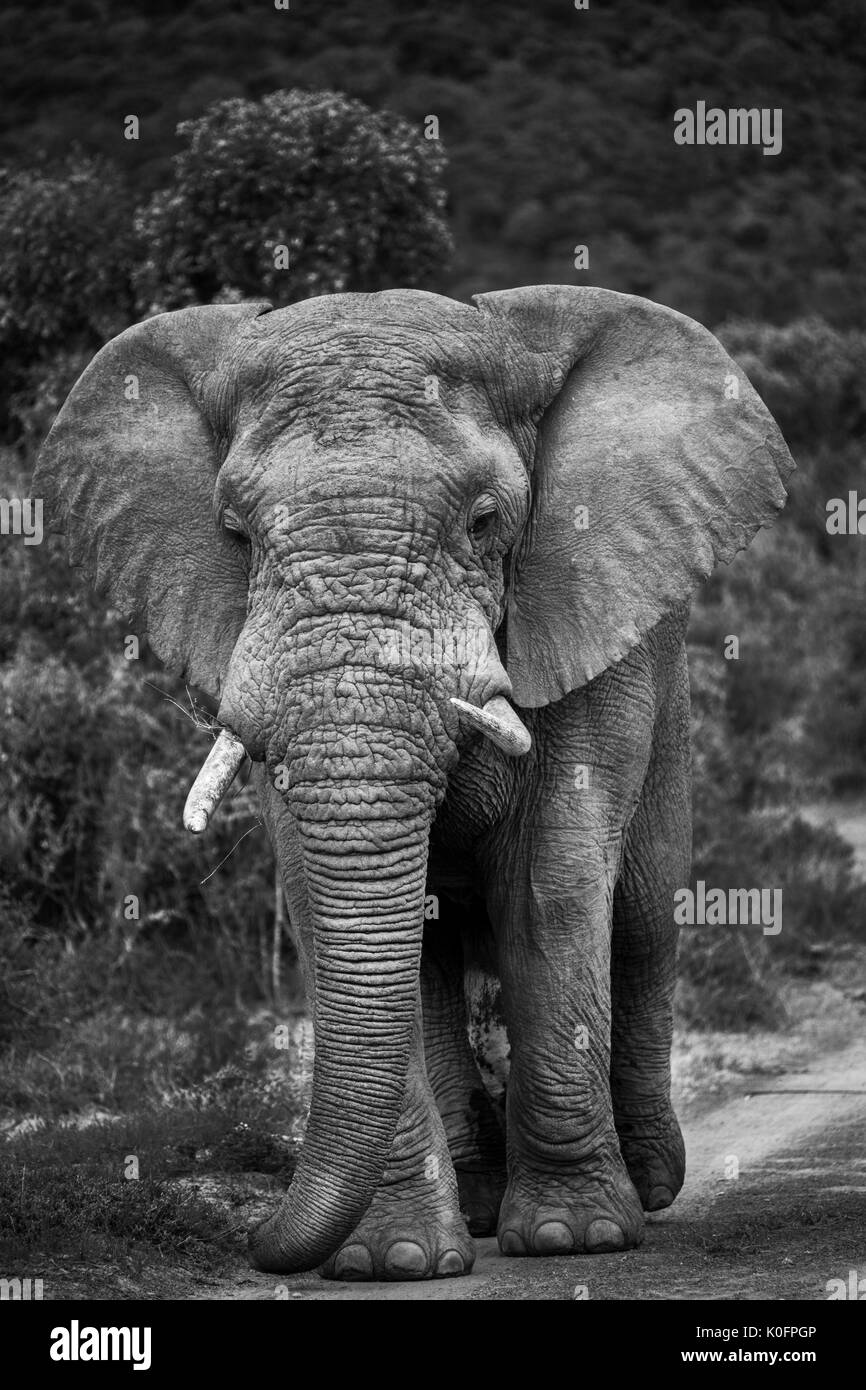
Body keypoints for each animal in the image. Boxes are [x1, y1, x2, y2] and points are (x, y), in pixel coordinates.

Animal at [35, 282, 795, 1278]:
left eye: (484, 520)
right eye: (234, 532)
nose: (250, 1238)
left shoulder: (586, 617)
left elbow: (550, 887)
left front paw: (573, 1238)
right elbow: (321, 898)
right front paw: (390, 1261)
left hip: (668, 698)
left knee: (640, 920)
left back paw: (650, 1184)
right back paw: (474, 1202)